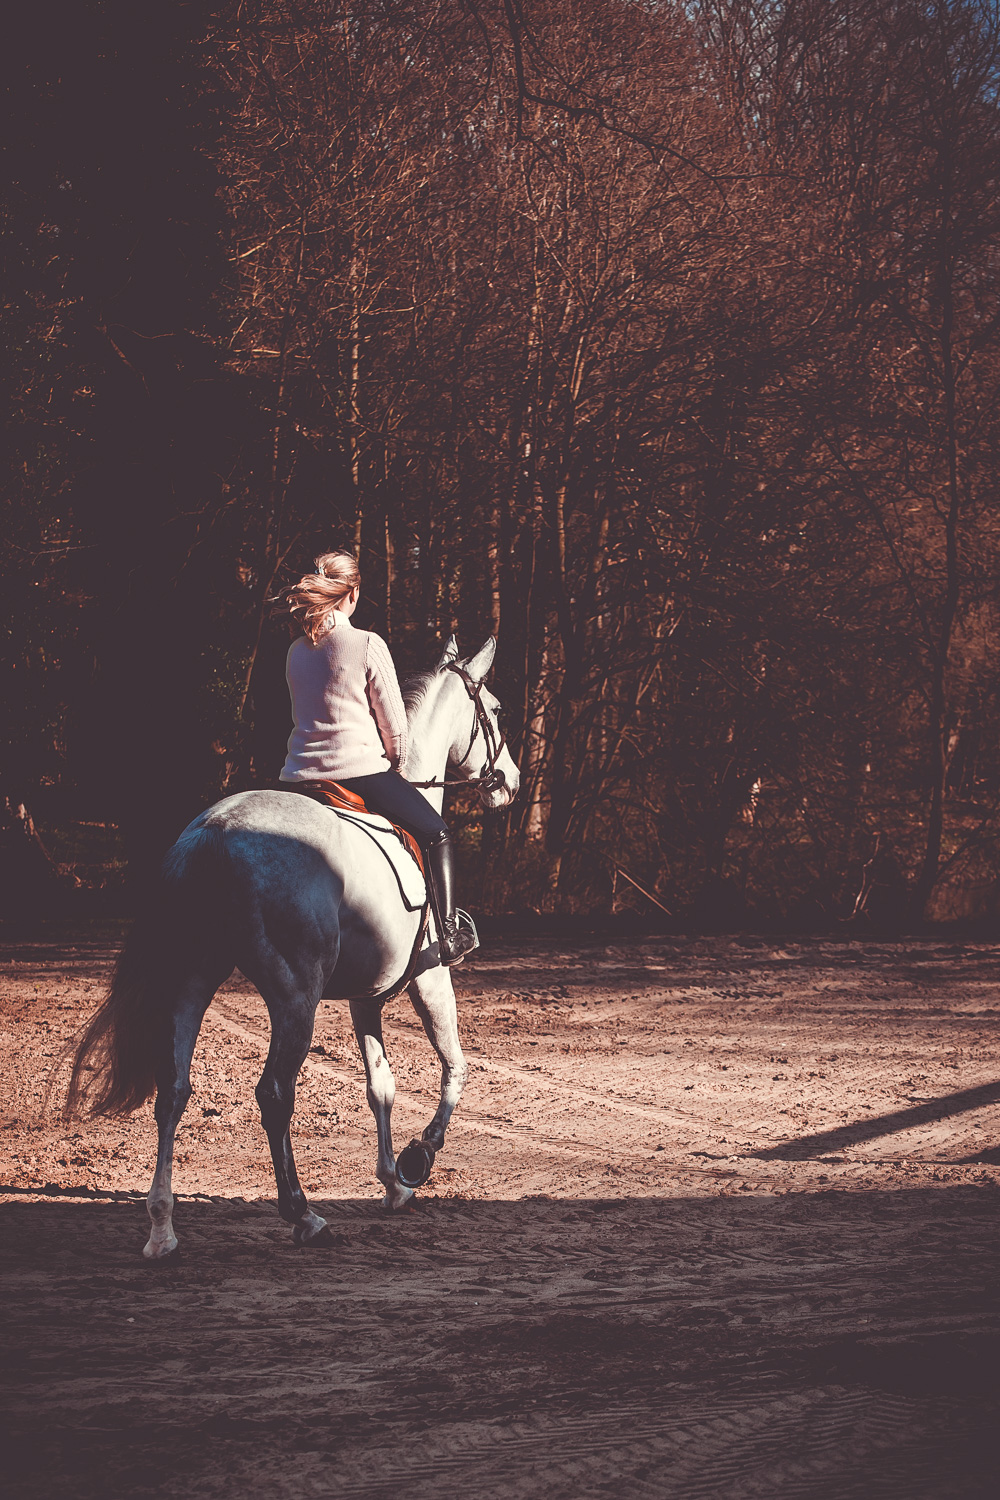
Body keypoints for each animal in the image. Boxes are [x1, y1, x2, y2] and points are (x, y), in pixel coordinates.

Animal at [68, 633, 524, 1254]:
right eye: (496, 710)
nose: (512, 782)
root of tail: (212, 834)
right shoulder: (430, 976)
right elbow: (455, 1067)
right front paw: (416, 1160)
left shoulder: (366, 995)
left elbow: (381, 1086)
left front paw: (392, 1183)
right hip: (294, 998)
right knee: (274, 1094)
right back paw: (301, 1213)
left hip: (192, 984)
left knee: (174, 1091)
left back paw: (162, 1227)